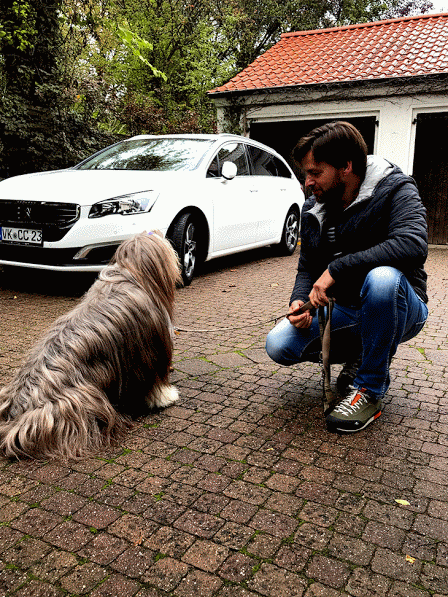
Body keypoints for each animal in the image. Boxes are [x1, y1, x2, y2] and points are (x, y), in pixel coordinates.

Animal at [0, 231, 181, 460]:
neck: (128, 273)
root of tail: (18, 411)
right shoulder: (151, 350)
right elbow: (155, 382)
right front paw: (166, 397)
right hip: (81, 401)